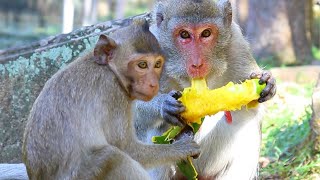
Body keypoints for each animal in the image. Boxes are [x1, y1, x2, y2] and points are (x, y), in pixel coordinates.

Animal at [21, 18, 200, 180]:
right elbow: (129, 150)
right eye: (142, 65)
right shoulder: (115, 94)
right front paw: (181, 148)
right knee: (111, 157)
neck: (109, 69)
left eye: (157, 64)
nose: (153, 84)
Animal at [134, 0, 276, 179]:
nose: (197, 64)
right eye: (184, 34)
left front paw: (267, 82)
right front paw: (162, 104)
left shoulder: (238, 45)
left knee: (247, 117)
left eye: (206, 33)